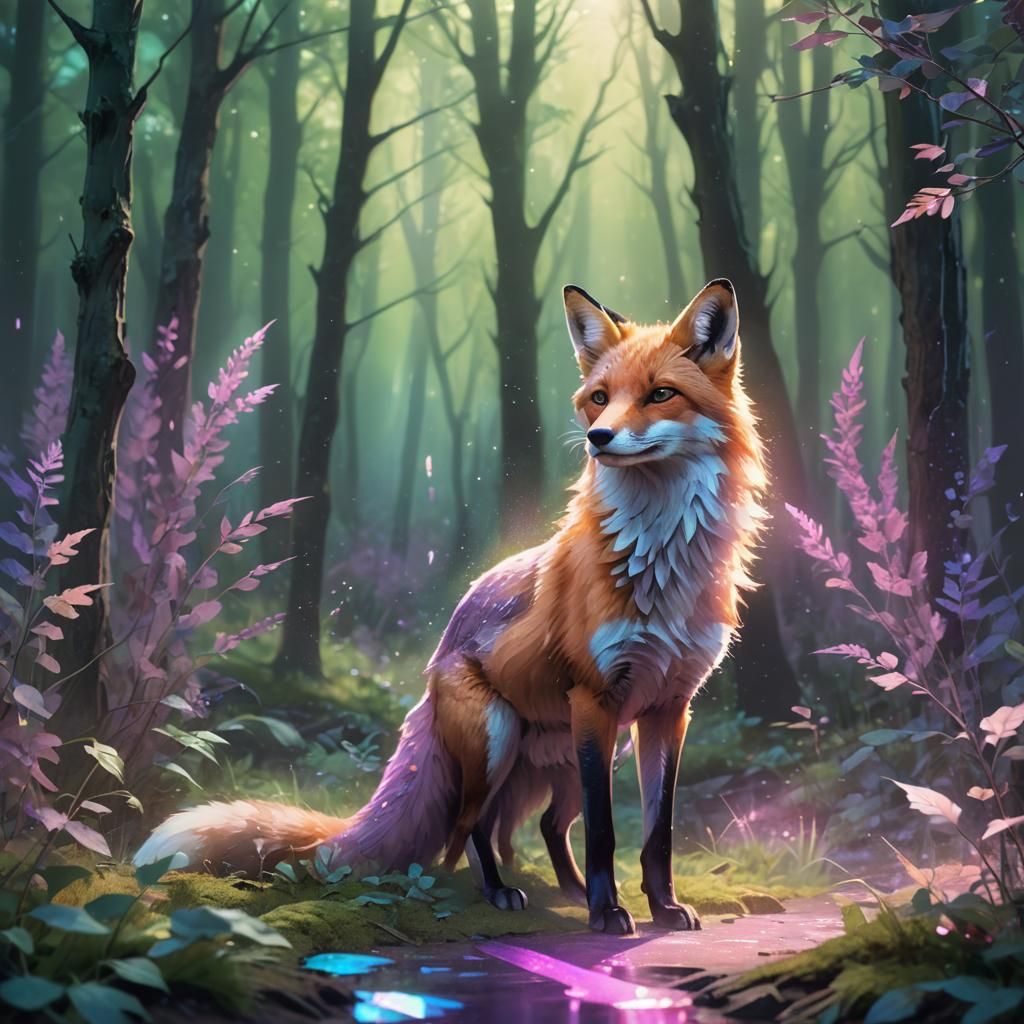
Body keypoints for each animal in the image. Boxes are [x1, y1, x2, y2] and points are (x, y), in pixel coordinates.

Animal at [134, 278, 766, 936]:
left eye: (660, 394)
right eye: (600, 399)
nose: (599, 439)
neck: (660, 562)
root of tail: (432, 672)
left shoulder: (668, 707)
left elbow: (657, 831)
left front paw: (662, 907)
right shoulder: (596, 697)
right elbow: (604, 831)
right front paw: (607, 911)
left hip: (580, 750)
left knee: (543, 823)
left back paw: (564, 892)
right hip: (503, 739)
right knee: (470, 827)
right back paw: (501, 892)